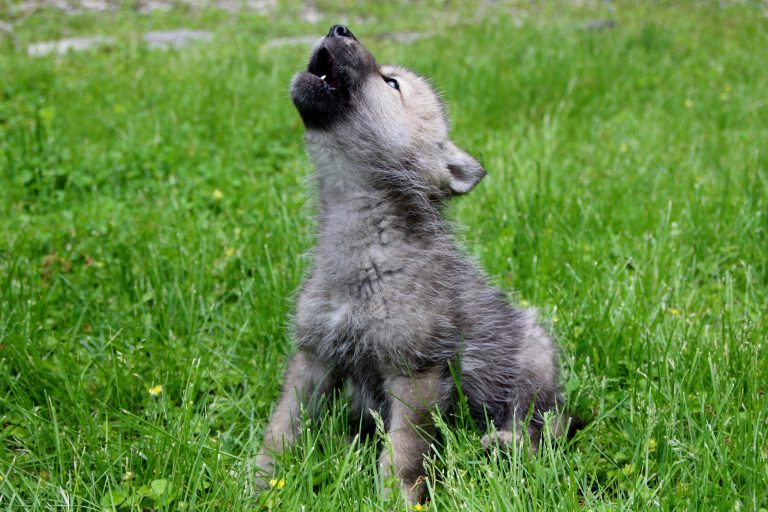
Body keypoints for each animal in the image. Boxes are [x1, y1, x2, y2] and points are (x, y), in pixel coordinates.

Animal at [255, 24, 570, 504]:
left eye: (391, 83)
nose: (339, 28)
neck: (363, 243)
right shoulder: (312, 358)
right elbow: (282, 427)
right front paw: (256, 480)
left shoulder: (416, 372)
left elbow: (403, 451)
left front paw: (397, 498)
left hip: (532, 366)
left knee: (542, 427)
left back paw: (503, 445)